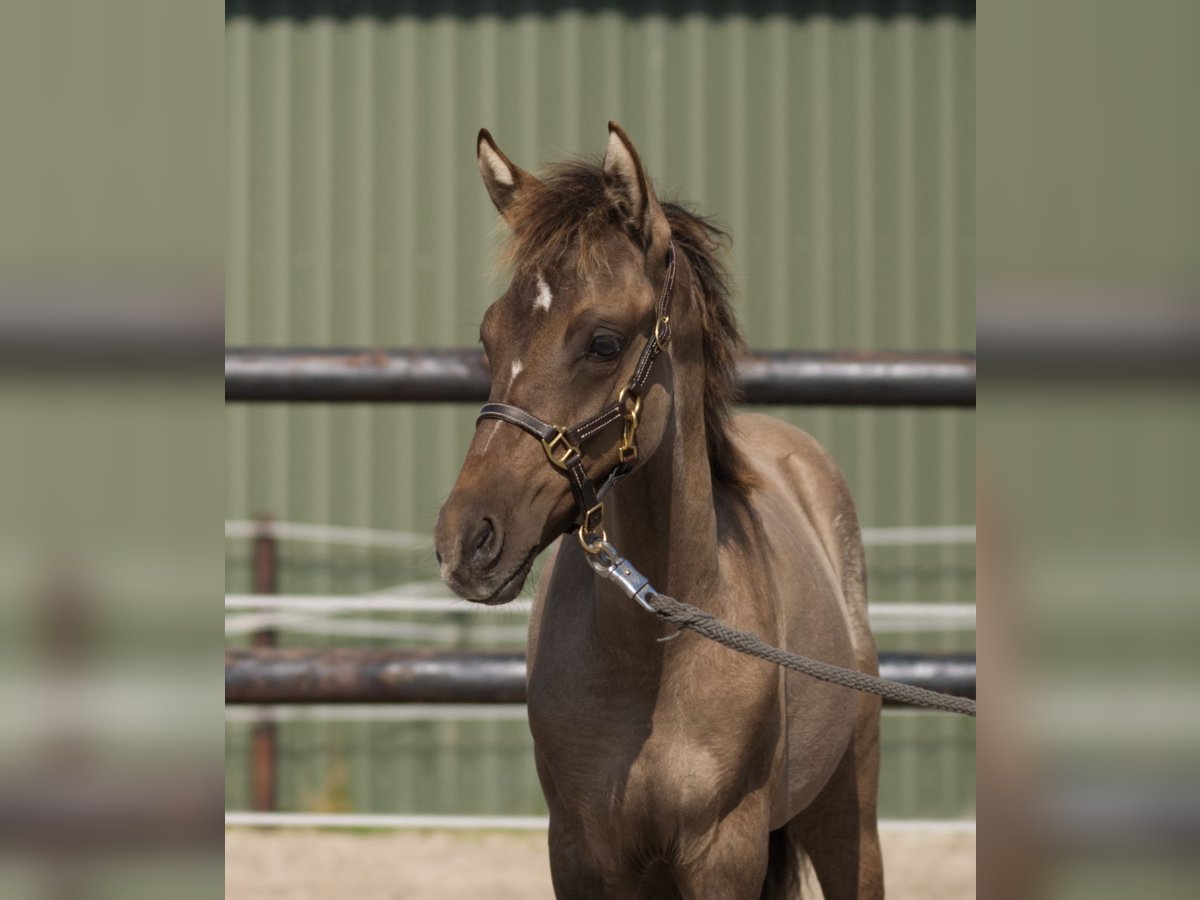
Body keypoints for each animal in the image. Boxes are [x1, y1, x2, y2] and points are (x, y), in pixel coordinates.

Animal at [434, 121, 883, 900]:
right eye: (490, 337)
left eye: (603, 342)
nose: (466, 541)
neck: (654, 653)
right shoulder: (580, 853)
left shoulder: (723, 854)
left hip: (848, 821)